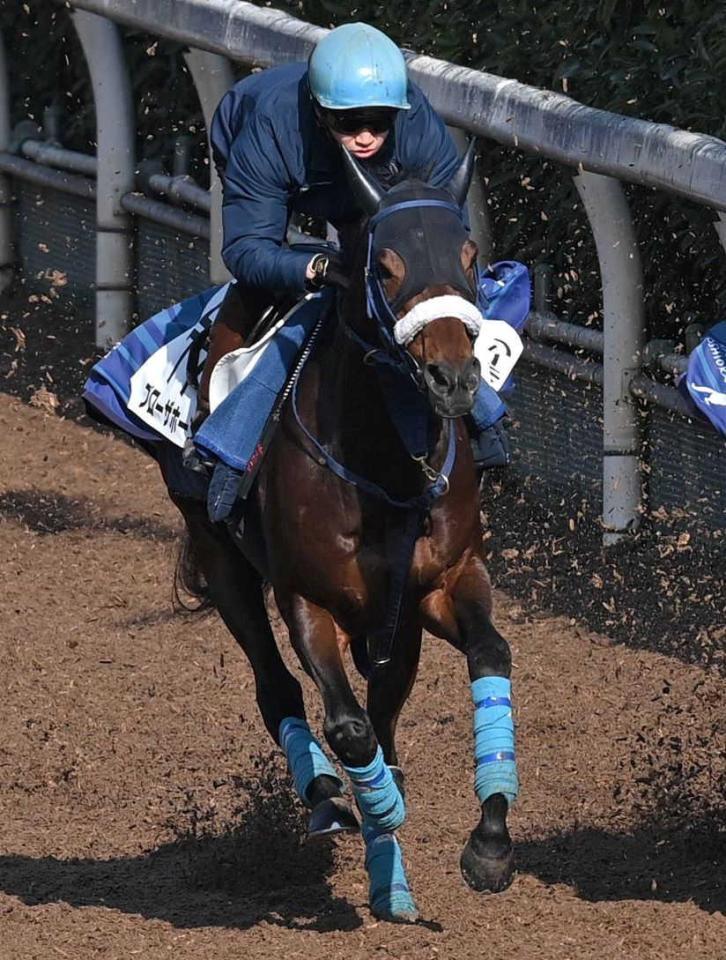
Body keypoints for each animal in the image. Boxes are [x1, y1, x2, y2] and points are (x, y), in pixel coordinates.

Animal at [170, 148, 520, 924]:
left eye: (470, 256)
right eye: (384, 265)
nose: (453, 378)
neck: (383, 460)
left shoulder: (442, 584)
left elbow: (489, 654)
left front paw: (489, 844)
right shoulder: (309, 598)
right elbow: (347, 725)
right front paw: (378, 811)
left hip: (399, 627)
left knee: (384, 710)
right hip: (224, 561)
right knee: (280, 691)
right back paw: (334, 801)